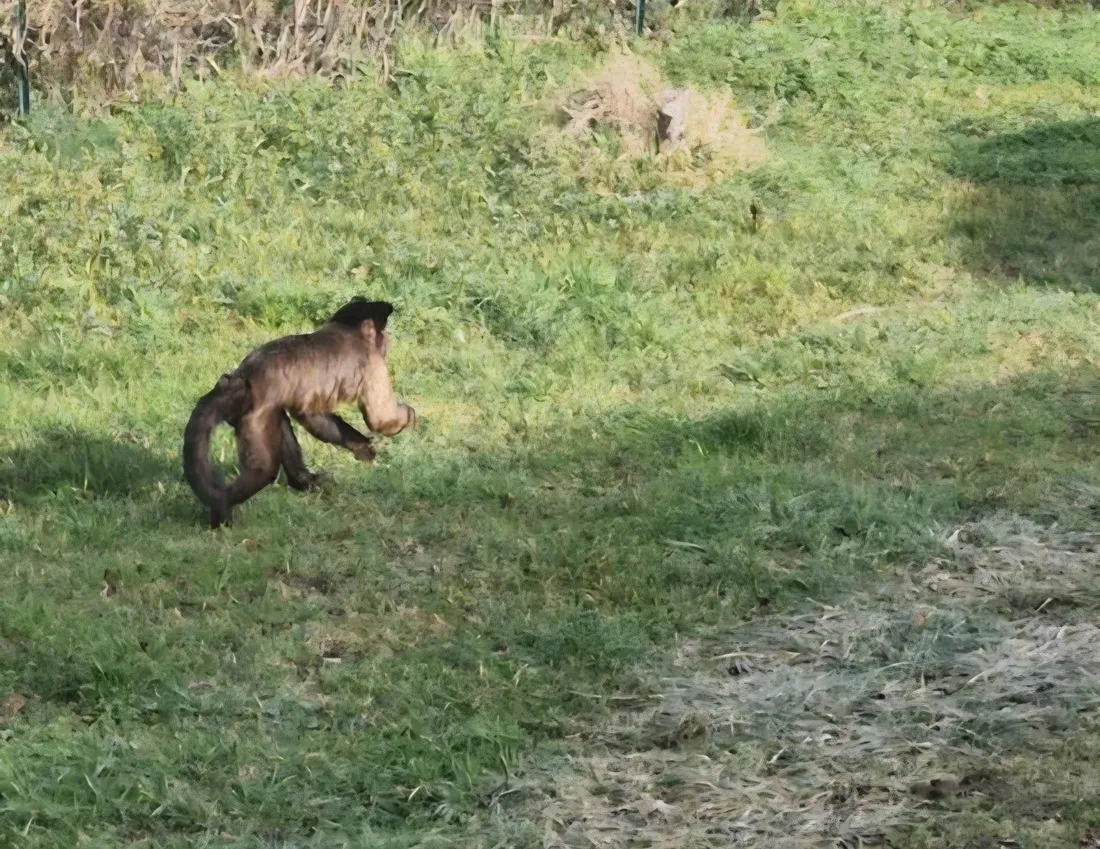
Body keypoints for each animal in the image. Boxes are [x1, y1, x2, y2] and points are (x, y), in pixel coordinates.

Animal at [182, 298, 416, 529]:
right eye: (383, 336)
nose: (386, 344)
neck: (352, 332)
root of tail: (240, 379)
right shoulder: (371, 362)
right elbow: (379, 419)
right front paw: (407, 418)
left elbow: (309, 414)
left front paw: (362, 447)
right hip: (254, 417)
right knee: (264, 470)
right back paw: (221, 508)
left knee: (281, 424)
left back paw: (303, 481)